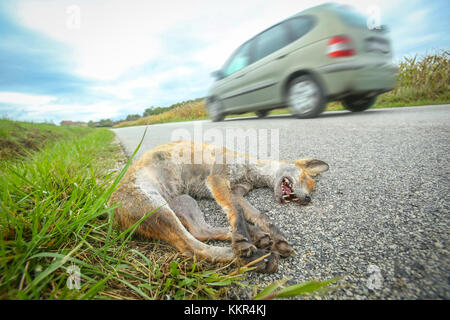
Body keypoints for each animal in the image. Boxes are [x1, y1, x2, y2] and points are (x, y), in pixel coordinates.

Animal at [109, 141, 326, 272]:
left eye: (312, 188)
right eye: (305, 179)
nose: (308, 199)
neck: (248, 171)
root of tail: (110, 209)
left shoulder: (237, 191)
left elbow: (259, 216)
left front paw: (277, 237)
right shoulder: (217, 179)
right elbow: (237, 212)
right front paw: (244, 240)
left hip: (184, 202)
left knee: (200, 231)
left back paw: (257, 238)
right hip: (159, 209)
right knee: (193, 248)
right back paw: (257, 257)